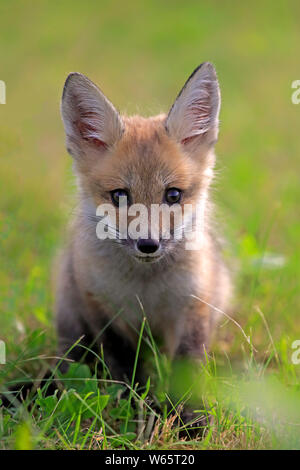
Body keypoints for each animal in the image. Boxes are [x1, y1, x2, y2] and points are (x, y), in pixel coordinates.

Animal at [56, 62, 232, 398]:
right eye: (120, 196)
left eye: (173, 195)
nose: (148, 244)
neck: (145, 289)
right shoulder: (101, 308)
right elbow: (122, 365)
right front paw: (130, 402)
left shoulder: (194, 304)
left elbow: (188, 368)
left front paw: (189, 413)